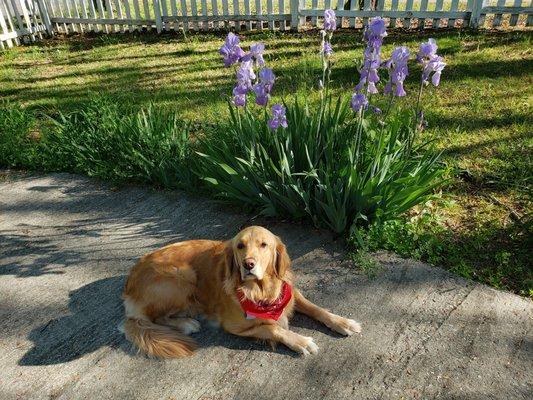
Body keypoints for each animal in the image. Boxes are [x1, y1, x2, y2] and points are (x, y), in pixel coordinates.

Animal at [122, 225, 360, 356]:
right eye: (240, 246)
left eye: (264, 245)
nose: (248, 265)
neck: (261, 291)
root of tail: (128, 283)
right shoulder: (235, 326)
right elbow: (274, 328)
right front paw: (300, 341)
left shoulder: (289, 293)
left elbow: (318, 309)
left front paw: (343, 322)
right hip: (183, 276)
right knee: (154, 318)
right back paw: (186, 323)